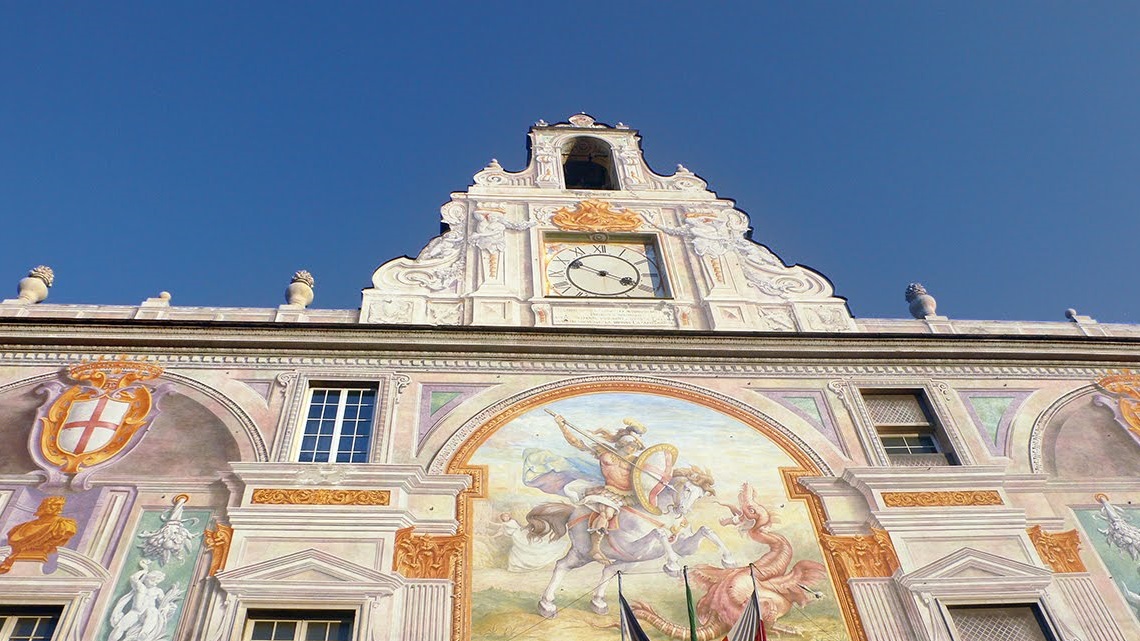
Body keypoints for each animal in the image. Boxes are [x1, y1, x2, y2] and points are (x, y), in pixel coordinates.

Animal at [524, 467, 738, 615]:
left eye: (699, 494)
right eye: (686, 489)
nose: (683, 510)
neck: (663, 514)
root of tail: (573, 512)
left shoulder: (681, 546)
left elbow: (705, 530)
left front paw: (728, 559)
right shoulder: (632, 547)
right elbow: (659, 533)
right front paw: (672, 565)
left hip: (628, 562)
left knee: (608, 570)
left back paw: (597, 602)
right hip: (584, 554)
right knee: (562, 566)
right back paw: (546, 605)